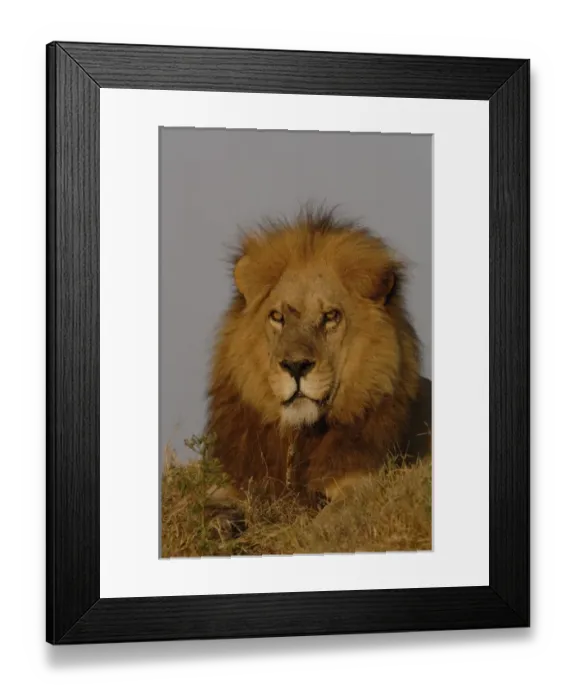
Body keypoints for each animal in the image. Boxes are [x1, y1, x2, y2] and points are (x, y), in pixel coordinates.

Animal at [204, 206, 431, 509]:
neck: (300, 438)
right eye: (277, 316)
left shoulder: (359, 484)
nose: (295, 366)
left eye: (331, 316)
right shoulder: (232, 485)